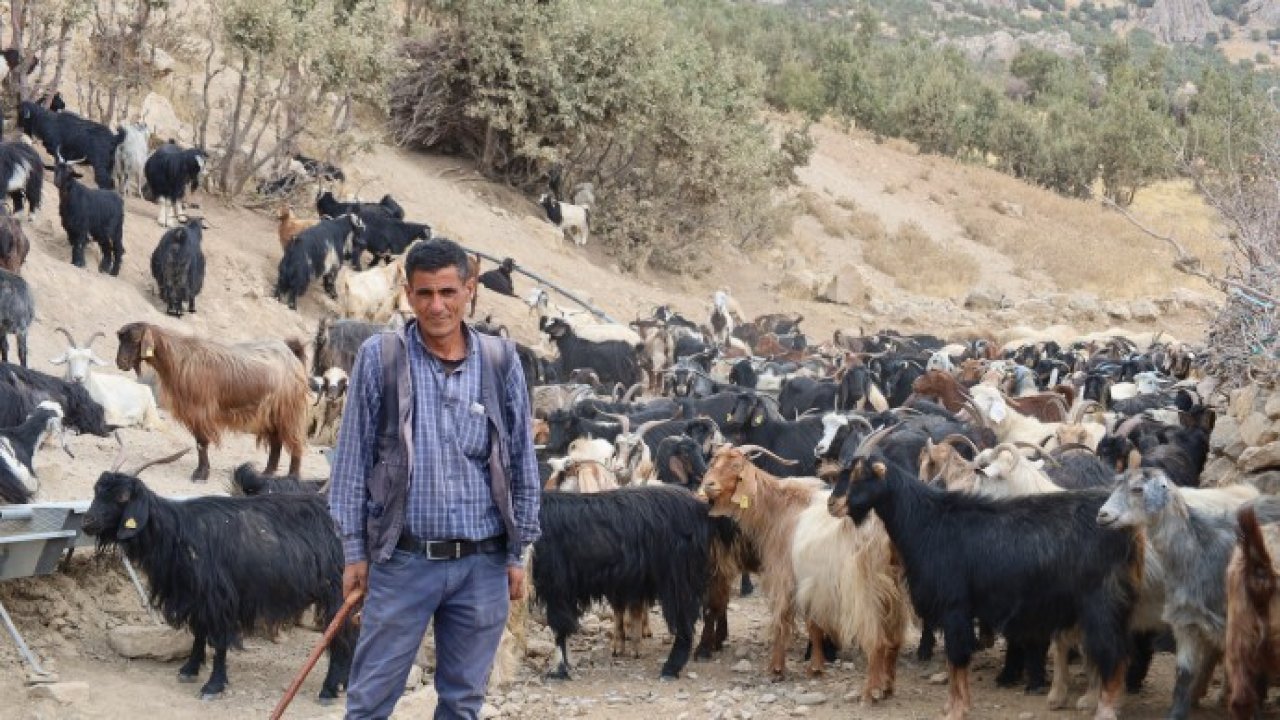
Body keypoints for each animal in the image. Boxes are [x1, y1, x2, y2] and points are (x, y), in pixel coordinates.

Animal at [117, 320, 312, 479]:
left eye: (135, 340)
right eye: (120, 338)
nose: (120, 362)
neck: (179, 359)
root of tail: (291, 352)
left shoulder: (201, 410)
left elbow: (202, 442)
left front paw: (201, 474)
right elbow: (199, 442)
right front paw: (202, 471)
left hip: (290, 408)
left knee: (295, 440)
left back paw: (292, 476)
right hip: (272, 412)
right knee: (276, 441)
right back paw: (267, 473)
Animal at [529, 481, 711, 676]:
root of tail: (698, 507)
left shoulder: (557, 583)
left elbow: (559, 627)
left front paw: (559, 669)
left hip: (679, 577)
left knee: (685, 619)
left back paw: (670, 668)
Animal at [829, 453, 1141, 717]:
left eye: (861, 475)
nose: (832, 504)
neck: (927, 521)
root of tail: (1128, 530)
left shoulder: (954, 606)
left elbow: (957, 657)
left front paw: (956, 710)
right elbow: (956, 661)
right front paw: (955, 706)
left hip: (1100, 603)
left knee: (1113, 654)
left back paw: (1105, 710)